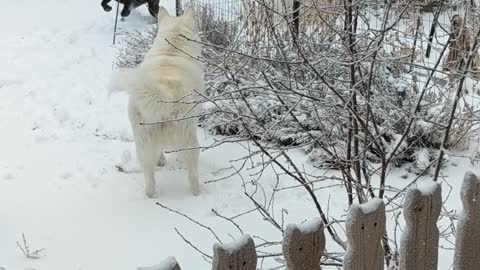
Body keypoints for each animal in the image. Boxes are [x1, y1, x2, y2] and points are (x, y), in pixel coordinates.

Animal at [110, 5, 204, 196]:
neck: (172, 51)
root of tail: (164, 96)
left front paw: (161, 162)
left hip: (143, 140)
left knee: (148, 174)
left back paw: (151, 194)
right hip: (187, 137)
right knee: (192, 169)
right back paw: (197, 193)